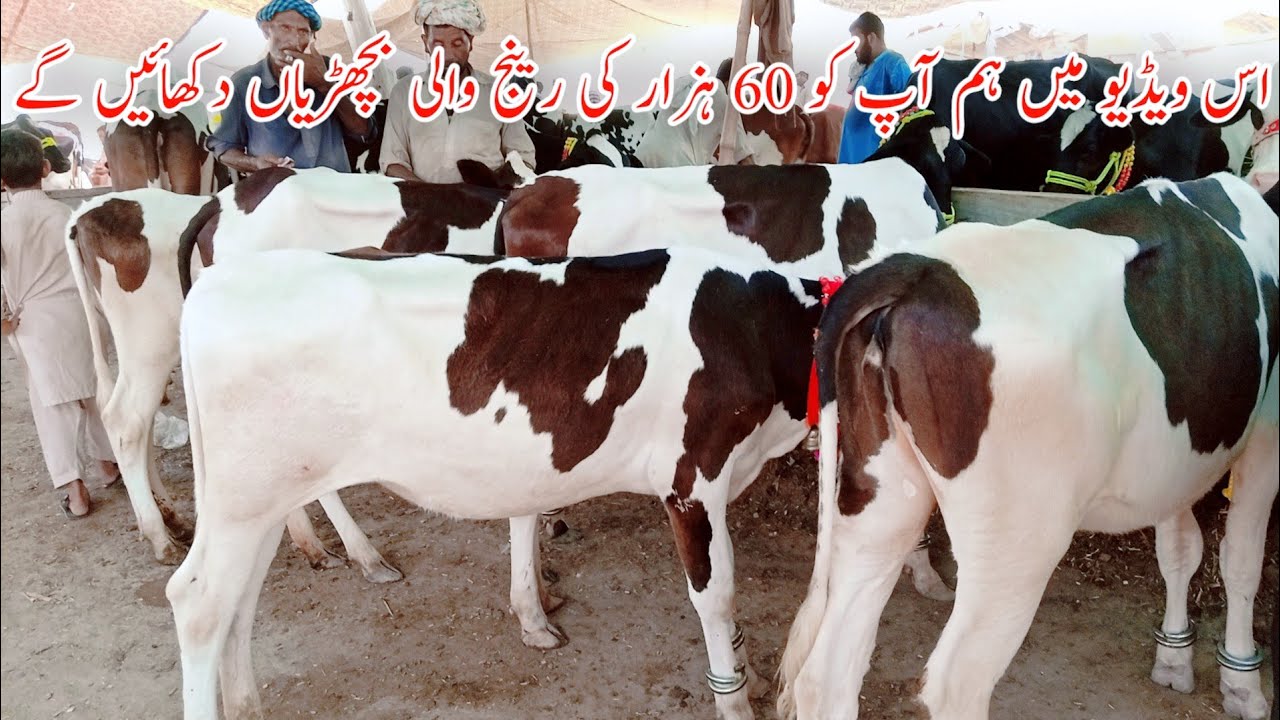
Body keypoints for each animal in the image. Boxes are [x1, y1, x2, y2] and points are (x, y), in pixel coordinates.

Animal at [777, 172, 1278, 720]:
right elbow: (1241, 559)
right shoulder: (1268, 435)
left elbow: (1180, 549)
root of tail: (918, 270)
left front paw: (1174, 657)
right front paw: (1242, 685)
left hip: (882, 498)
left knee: (827, 672)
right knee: (956, 683)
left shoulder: (1175, 462)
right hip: (1016, 539)